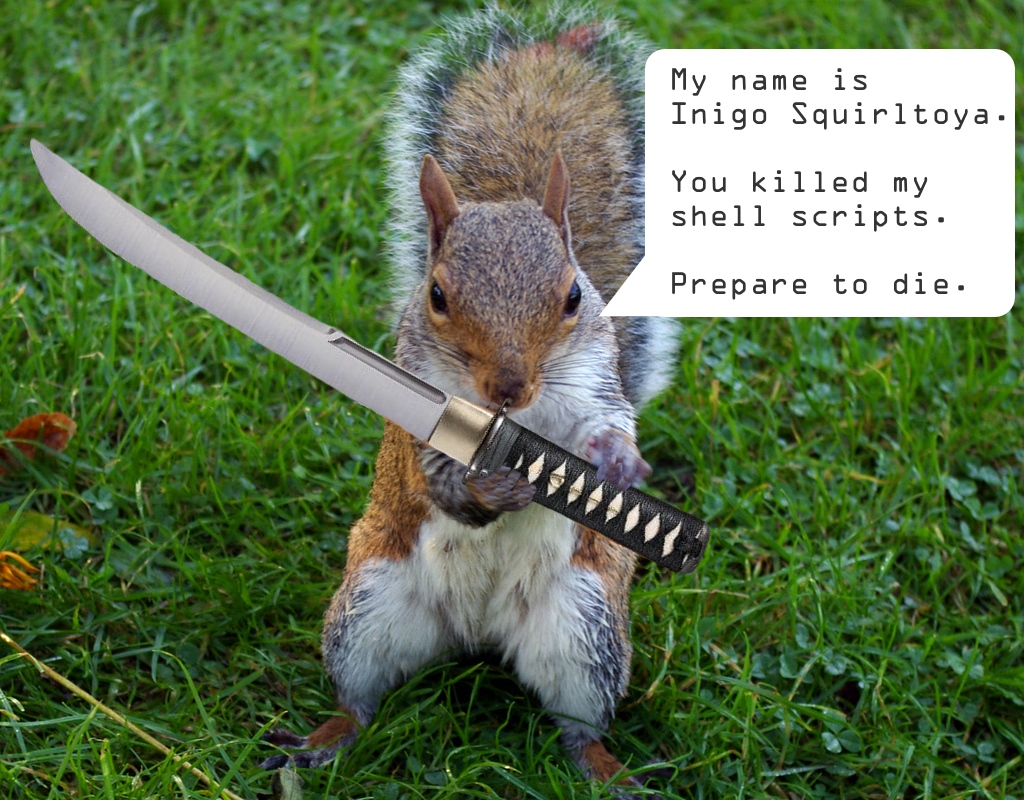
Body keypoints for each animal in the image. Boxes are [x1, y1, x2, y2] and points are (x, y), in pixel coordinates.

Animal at [262, 5, 681, 794]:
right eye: (436, 296)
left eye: (574, 296)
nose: (508, 386)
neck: (511, 422)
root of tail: (481, 634)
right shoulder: (421, 415)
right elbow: (438, 482)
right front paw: (488, 490)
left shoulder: (596, 382)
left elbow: (610, 424)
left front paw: (615, 465)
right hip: (369, 606)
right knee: (361, 698)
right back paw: (322, 740)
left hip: (585, 629)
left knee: (578, 725)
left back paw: (608, 770)